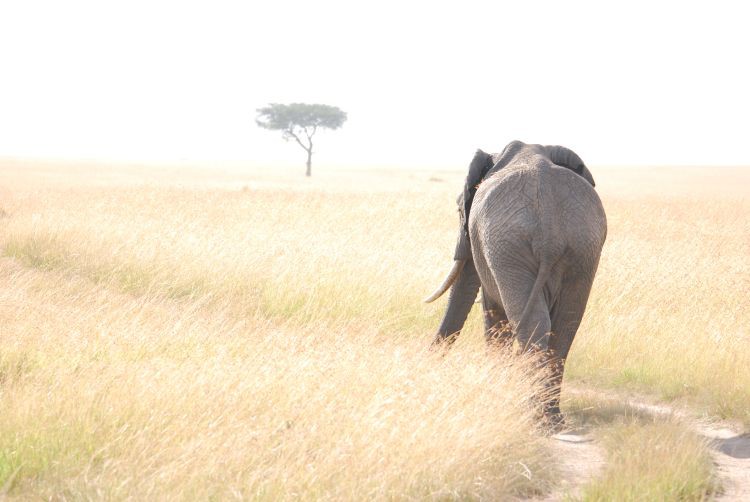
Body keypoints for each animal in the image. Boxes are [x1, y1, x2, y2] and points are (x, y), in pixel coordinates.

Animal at [426, 141, 608, 428]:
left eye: (458, 209)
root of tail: (550, 231)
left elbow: (492, 311)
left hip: (510, 248)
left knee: (534, 323)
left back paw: (535, 417)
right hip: (582, 248)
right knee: (566, 323)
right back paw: (551, 419)